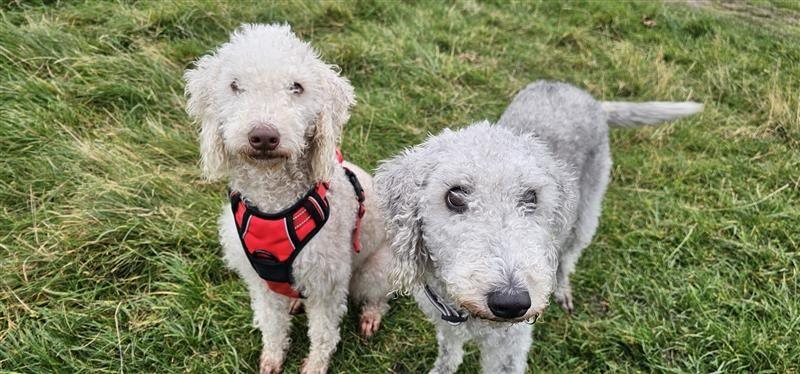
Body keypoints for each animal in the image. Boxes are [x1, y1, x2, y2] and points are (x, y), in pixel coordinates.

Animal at [184, 24, 390, 372]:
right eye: (235, 85)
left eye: (297, 87)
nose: (264, 136)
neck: (273, 202)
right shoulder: (260, 283)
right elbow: (272, 324)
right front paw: (272, 357)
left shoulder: (326, 283)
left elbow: (323, 334)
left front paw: (315, 366)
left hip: (373, 271)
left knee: (379, 296)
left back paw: (371, 315)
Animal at [374, 80, 700, 372]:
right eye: (454, 196)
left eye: (531, 196)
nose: (511, 302)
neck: (470, 317)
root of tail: (589, 98)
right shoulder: (446, 324)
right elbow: (448, 353)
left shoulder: (510, 347)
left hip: (585, 214)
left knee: (567, 258)